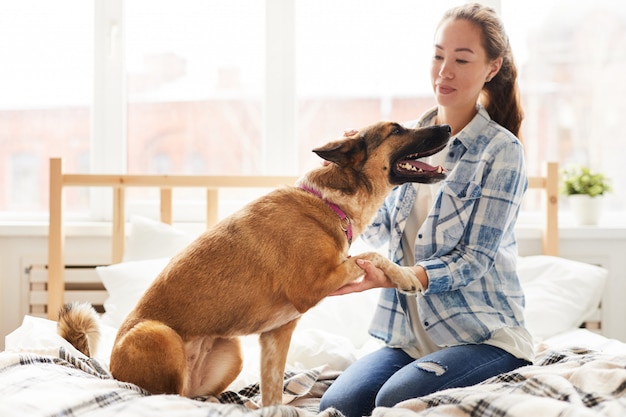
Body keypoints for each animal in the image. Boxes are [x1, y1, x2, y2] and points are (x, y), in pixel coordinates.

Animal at [58, 121, 448, 406]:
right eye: (396, 131)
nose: (446, 127)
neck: (328, 203)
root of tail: (110, 369)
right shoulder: (312, 286)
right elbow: (369, 255)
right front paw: (406, 278)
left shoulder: (276, 335)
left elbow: (272, 391)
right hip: (159, 335)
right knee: (167, 398)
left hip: (231, 350)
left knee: (195, 396)